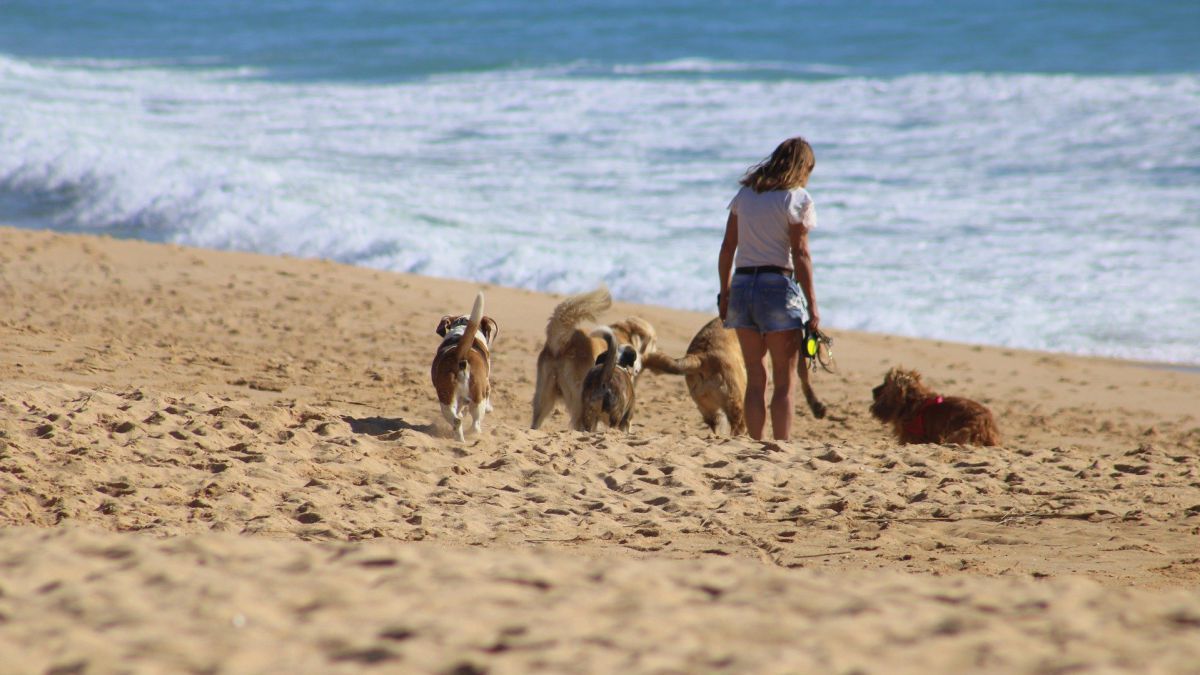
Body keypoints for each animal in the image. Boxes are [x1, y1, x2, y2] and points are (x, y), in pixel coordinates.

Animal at [432, 290, 496, 439]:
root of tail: (460, 355)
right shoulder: (486, 384)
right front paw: (490, 408)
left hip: (446, 398)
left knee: (456, 420)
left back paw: (459, 439)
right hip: (478, 397)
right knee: (475, 424)